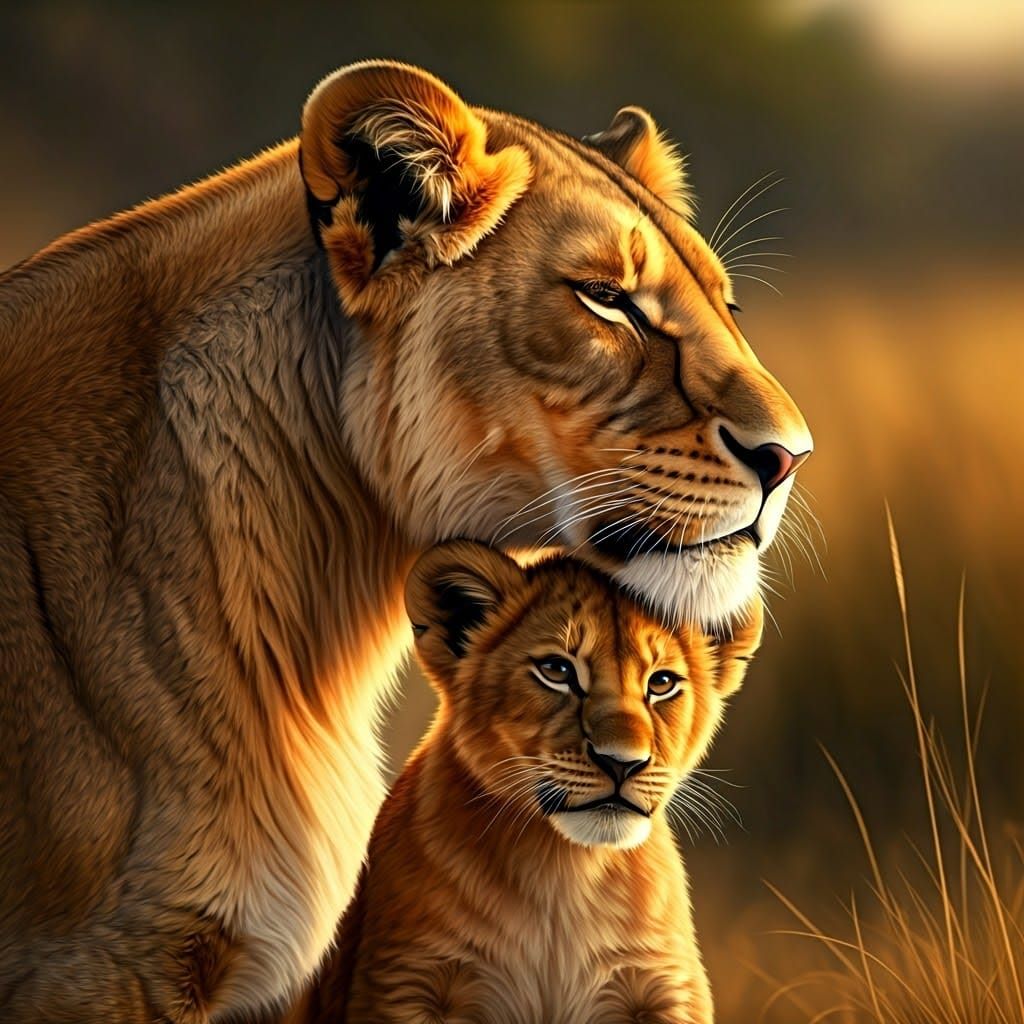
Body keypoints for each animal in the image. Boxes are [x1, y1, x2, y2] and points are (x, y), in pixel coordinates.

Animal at [293, 540, 764, 1024]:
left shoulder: (666, 991)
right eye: (557, 670)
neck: (564, 872)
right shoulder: (405, 982)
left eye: (663, 683)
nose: (622, 763)